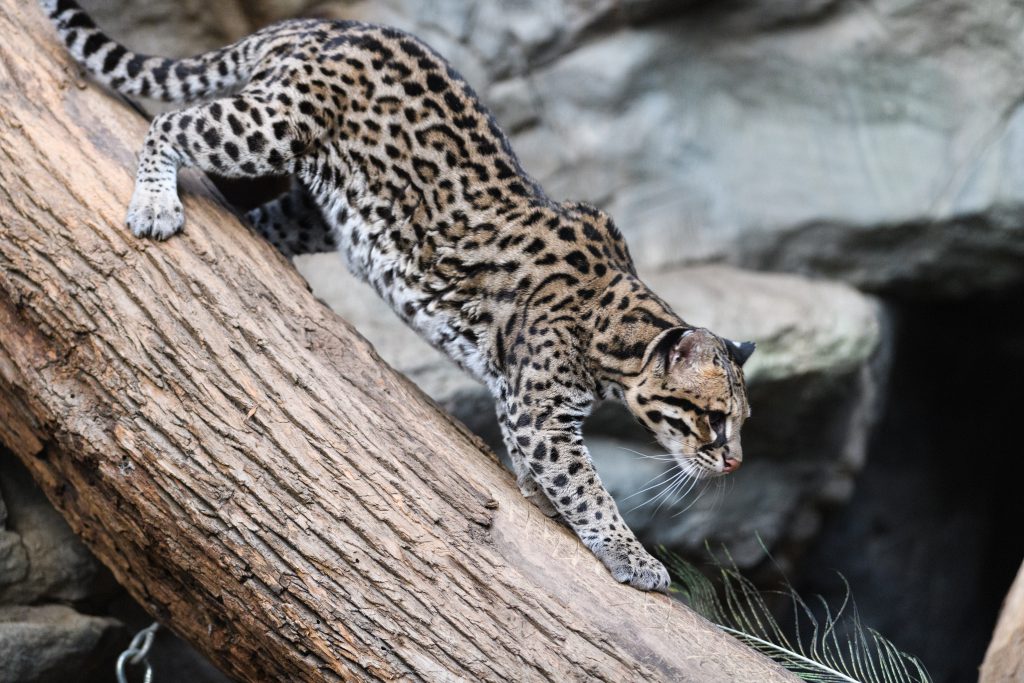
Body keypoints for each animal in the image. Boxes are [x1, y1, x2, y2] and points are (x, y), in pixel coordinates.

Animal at [40, 0, 755, 591]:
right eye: (716, 418)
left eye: (743, 423)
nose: (735, 464)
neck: (616, 339)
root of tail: (317, 24)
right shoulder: (542, 413)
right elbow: (586, 487)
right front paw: (631, 554)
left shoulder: (522, 405)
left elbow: (544, 473)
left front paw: (543, 501)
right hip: (269, 127)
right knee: (172, 120)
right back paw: (154, 202)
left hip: (322, 202)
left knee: (262, 214)